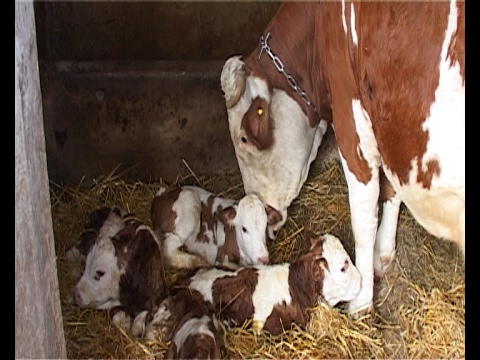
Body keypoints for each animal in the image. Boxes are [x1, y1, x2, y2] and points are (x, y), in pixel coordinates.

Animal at [219, 0, 464, 316]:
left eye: (244, 138)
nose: (262, 207)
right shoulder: (392, 128)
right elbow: (392, 188)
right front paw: (384, 252)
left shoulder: (351, 119)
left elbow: (363, 220)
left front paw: (361, 301)